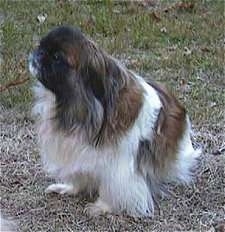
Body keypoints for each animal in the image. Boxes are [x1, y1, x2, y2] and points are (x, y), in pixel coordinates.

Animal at [28, 25, 200, 218]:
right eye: (42, 45)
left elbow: (111, 188)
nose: (39, 52)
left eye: (57, 57)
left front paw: (103, 206)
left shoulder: (118, 168)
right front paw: (68, 188)